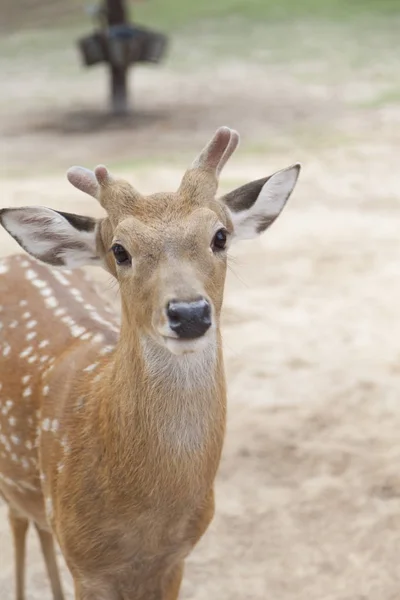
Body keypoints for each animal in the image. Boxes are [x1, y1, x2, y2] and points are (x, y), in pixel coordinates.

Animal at [0, 124, 300, 596]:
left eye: (220, 236)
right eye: (119, 250)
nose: (189, 313)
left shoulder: (174, 559)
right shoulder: (86, 565)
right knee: (18, 521)